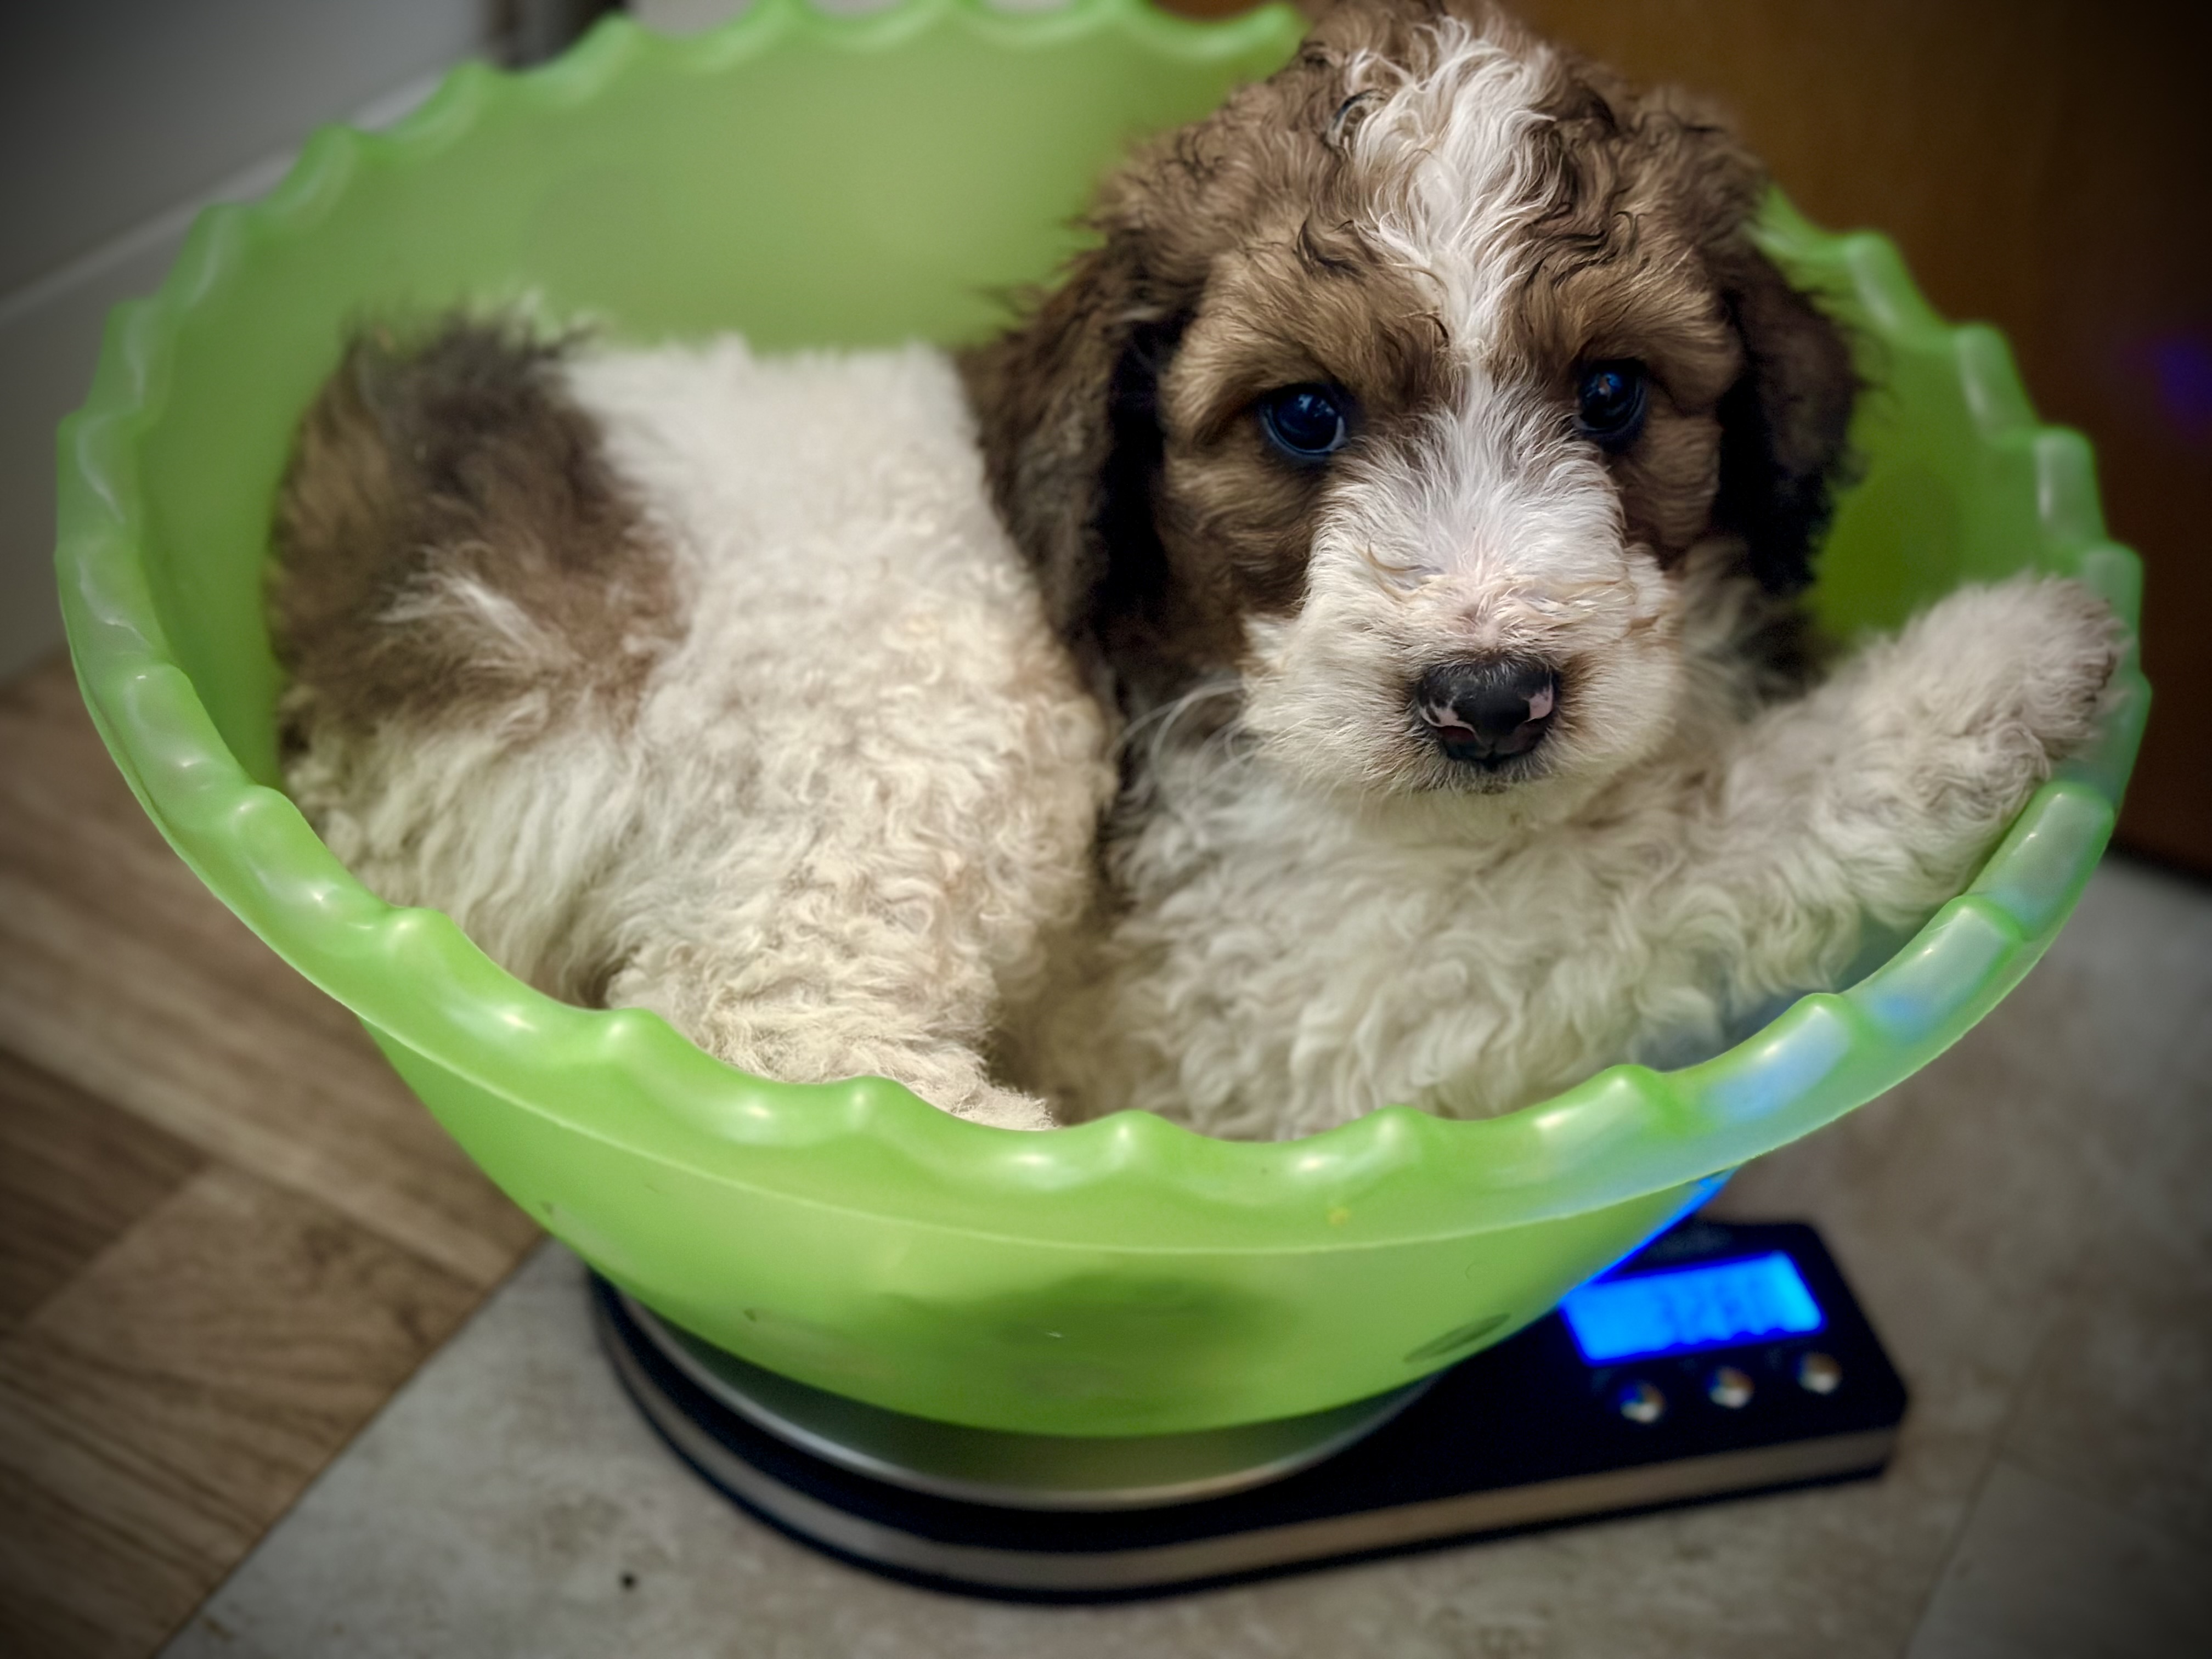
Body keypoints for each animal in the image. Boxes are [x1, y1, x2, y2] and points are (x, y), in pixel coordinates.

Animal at [272, 0, 2115, 1142]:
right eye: (1303, 418)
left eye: (1613, 396)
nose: (1491, 701)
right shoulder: (1308, 989)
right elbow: (1668, 838)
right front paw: (2007, 664)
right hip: (941, 694)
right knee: (749, 1009)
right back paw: (1023, 1162)